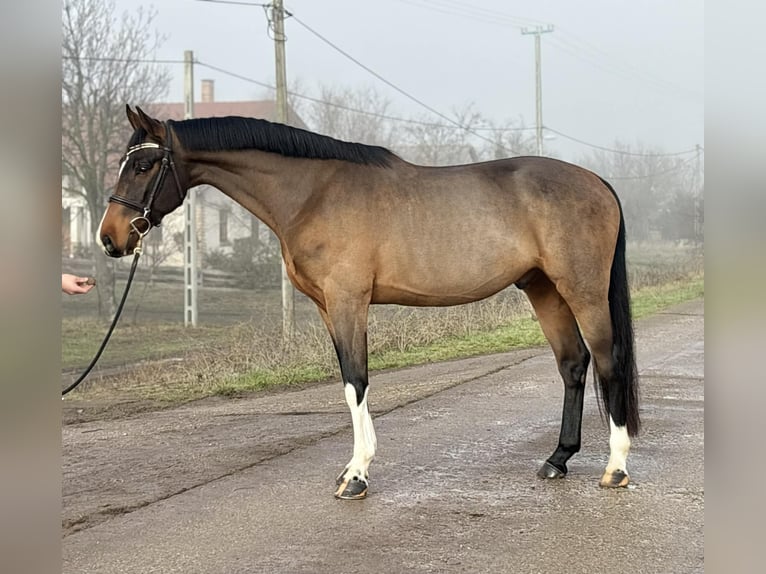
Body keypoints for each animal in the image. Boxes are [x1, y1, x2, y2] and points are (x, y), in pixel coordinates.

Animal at [98, 105, 640, 500]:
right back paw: (557, 460)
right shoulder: (326, 306)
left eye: (143, 164)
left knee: (607, 362)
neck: (314, 194)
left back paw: (615, 468)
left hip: (582, 291)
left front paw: (356, 475)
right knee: (573, 364)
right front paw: (353, 468)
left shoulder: (347, 301)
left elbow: (355, 380)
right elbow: (347, 380)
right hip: (543, 289)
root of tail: (598, 182)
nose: (110, 239)